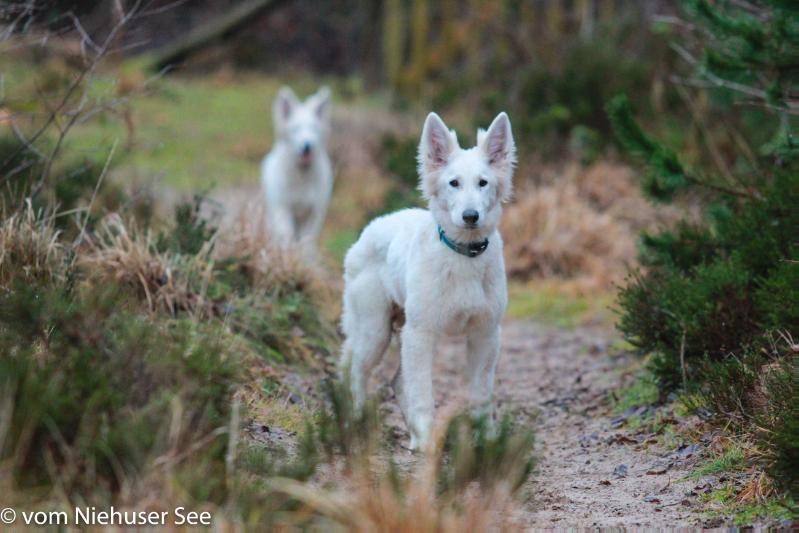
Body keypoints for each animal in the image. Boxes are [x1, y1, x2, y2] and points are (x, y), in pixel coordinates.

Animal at [264, 85, 332, 256]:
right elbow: (286, 236)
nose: (307, 146)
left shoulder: (314, 212)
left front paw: (304, 257)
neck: (302, 175)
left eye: (314, 129)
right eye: (296, 129)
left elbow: (307, 241)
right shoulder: (283, 208)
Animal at [340, 112, 516, 448]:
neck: (463, 254)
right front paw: (426, 440)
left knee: (396, 381)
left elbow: (480, 395)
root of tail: (370, 228)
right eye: (454, 183)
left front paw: (485, 443)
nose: (471, 216)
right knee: (356, 371)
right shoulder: (421, 333)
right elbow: (423, 393)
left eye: (483, 183)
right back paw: (358, 426)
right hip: (375, 331)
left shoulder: (485, 334)